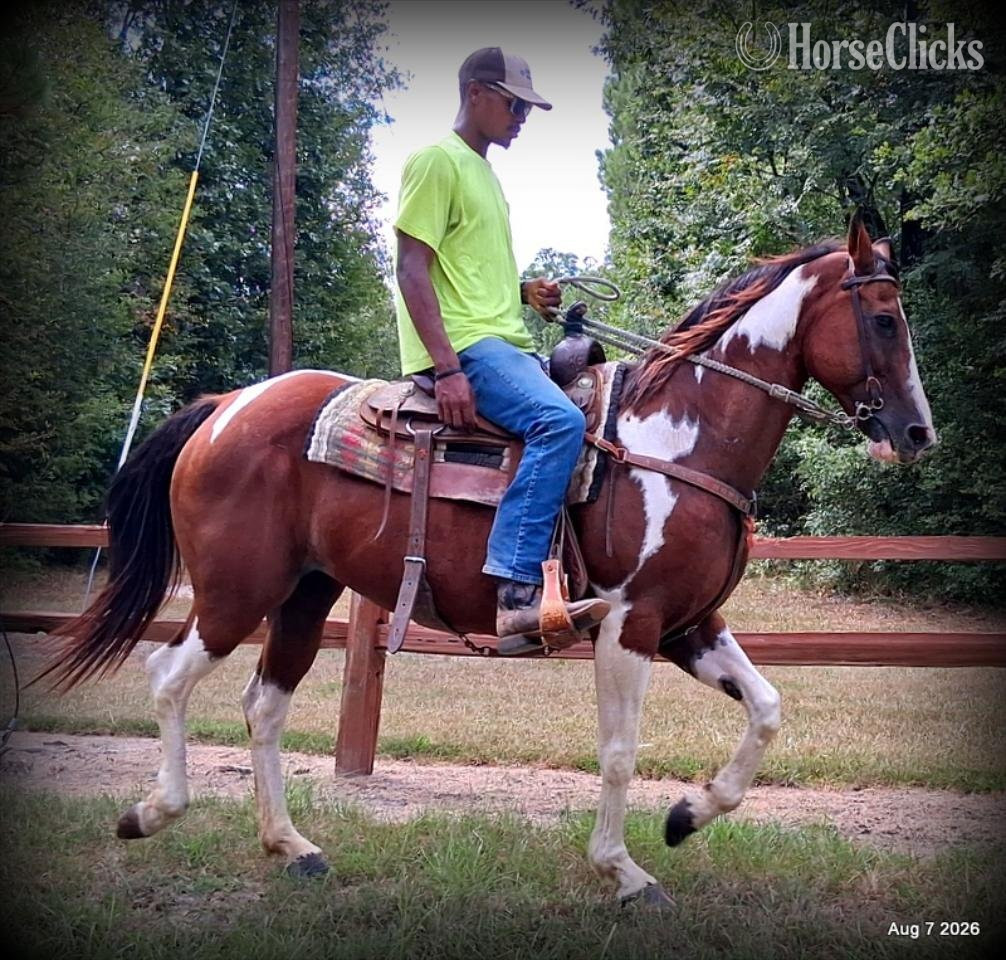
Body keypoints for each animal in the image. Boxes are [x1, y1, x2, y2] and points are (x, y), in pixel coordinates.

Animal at [41, 218, 935, 906]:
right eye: (884, 318)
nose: (919, 432)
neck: (678, 436)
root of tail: (226, 407)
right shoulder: (633, 623)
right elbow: (619, 753)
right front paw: (625, 872)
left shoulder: (691, 624)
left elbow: (768, 709)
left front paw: (686, 816)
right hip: (235, 593)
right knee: (168, 676)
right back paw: (151, 814)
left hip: (303, 595)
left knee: (265, 707)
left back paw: (292, 846)